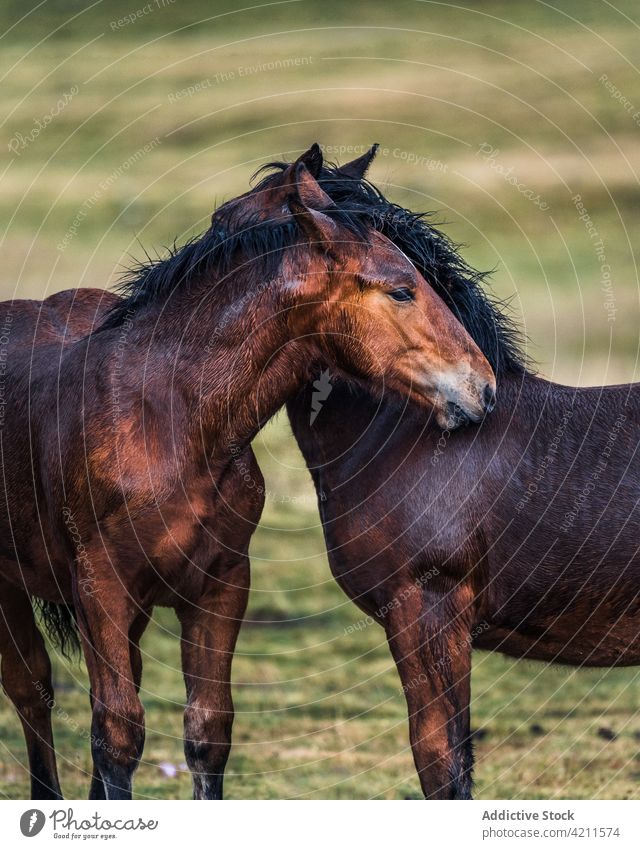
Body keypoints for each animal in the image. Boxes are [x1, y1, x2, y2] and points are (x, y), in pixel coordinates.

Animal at [0, 142, 496, 800]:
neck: (172, 420)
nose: (482, 386)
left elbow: (208, 733)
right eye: (400, 290)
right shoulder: (100, 588)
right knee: (33, 692)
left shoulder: (221, 586)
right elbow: (118, 735)